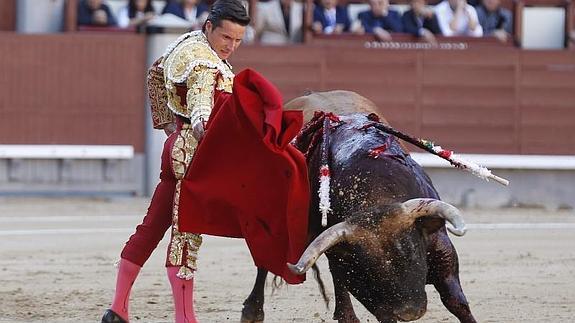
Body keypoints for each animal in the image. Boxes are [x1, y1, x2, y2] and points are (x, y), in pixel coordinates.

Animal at [240, 91, 476, 323]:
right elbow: (378, 309)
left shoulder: (441, 248)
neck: (375, 198)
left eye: (412, 250)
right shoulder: (358, 279)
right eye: (368, 268)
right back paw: (252, 312)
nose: (409, 312)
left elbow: (456, 302)